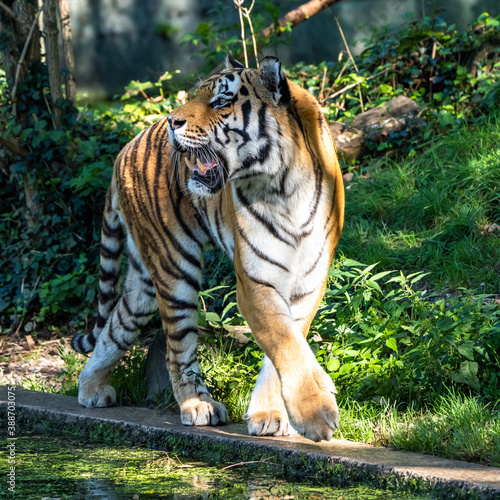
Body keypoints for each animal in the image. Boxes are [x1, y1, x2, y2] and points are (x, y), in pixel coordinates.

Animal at [72, 54, 346, 444]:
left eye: (220, 102)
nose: (172, 121)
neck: (284, 186)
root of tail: (124, 149)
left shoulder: (309, 282)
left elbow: (283, 347)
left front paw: (270, 414)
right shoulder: (255, 282)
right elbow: (284, 343)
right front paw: (316, 413)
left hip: (143, 280)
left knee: (116, 325)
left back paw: (92, 388)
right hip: (174, 267)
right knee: (176, 350)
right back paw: (198, 406)